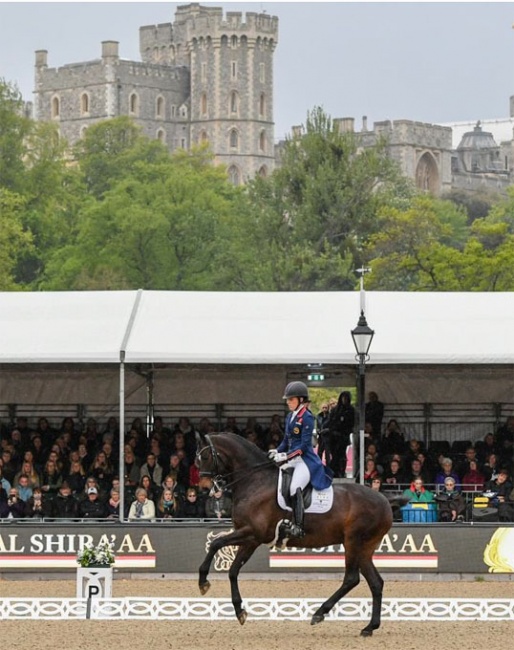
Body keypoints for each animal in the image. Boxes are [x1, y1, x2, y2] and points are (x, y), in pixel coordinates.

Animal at [196, 432, 392, 636]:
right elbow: (233, 570)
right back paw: (370, 627)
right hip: (364, 547)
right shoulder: (250, 539)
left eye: (205, 457)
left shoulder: (253, 533)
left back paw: (319, 613)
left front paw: (203, 582)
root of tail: (384, 501)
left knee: (351, 578)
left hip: (354, 542)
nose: (204, 489)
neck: (255, 481)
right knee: (375, 582)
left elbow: (216, 544)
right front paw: (239, 610)